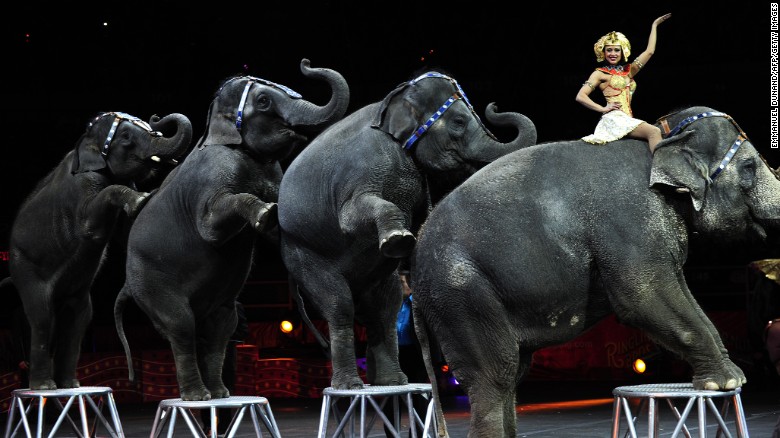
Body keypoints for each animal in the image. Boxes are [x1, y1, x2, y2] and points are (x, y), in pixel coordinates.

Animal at [8, 110, 195, 390]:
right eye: (126, 136)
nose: (156, 119)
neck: (85, 143)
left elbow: (127, 232)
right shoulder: (83, 185)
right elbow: (90, 225)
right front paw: (143, 199)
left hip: (76, 294)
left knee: (79, 318)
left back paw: (70, 385)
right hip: (24, 267)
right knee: (42, 317)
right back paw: (44, 387)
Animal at [114, 58, 348, 400]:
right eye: (263, 101)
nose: (305, 63)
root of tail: (127, 286)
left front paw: (278, 220)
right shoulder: (214, 173)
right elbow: (211, 226)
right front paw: (265, 213)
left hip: (211, 302)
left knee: (219, 327)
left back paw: (220, 393)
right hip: (151, 284)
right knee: (181, 326)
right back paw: (198, 396)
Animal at [278, 69, 540, 390]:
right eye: (458, 122)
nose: (495, 106)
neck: (395, 99)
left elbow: (426, 216)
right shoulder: (364, 168)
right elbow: (350, 219)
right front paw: (398, 240)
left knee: (385, 307)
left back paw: (390, 382)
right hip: (302, 254)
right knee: (339, 304)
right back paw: (350, 386)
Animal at [408, 106, 772, 438]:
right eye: (749, 167)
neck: (662, 139)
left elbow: (680, 291)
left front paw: (732, 377)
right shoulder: (629, 220)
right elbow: (644, 297)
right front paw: (728, 380)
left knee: (512, 373)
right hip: (459, 293)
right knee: (493, 377)